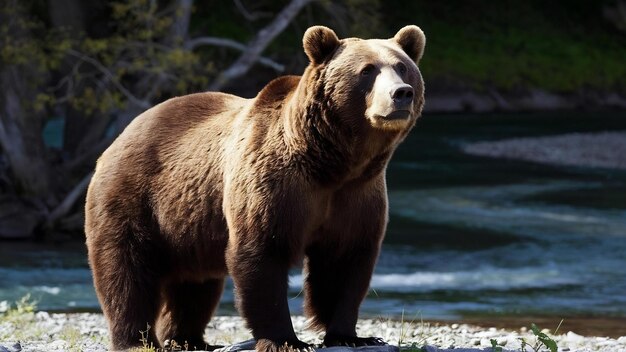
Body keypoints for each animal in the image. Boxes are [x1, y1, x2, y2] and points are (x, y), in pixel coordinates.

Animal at [84, 25, 424, 352]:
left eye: (402, 67)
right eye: (367, 70)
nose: (401, 93)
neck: (332, 162)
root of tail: (122, 135)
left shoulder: (357, 194)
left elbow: (344, 260)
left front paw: (351, 336)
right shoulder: (275, 183)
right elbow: (262, 252)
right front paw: (285, 340)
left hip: (189, 224)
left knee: (194, 284)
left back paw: (189, 339)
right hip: (133, 198)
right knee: (126, 272)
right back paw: (136, 341)